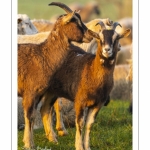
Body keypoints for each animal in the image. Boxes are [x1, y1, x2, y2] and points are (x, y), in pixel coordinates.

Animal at [17, 1, 99, 149]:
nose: (91, 35)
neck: (43, 55)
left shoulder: (39, 93)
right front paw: (28, 143)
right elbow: (29, 116)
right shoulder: (29, 93)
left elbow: (35, 115)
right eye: (74, 21)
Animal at [41, 20, 131, 149]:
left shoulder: (98, 103)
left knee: (44, 109)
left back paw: (52, 139)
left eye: (116, 38)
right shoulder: (80, 101)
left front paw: (87, 146)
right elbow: (80, 123)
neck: (91, 70)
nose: (107, 50)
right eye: (99, 37)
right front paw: (79, 146)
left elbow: (89, 124)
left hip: (52, 91)